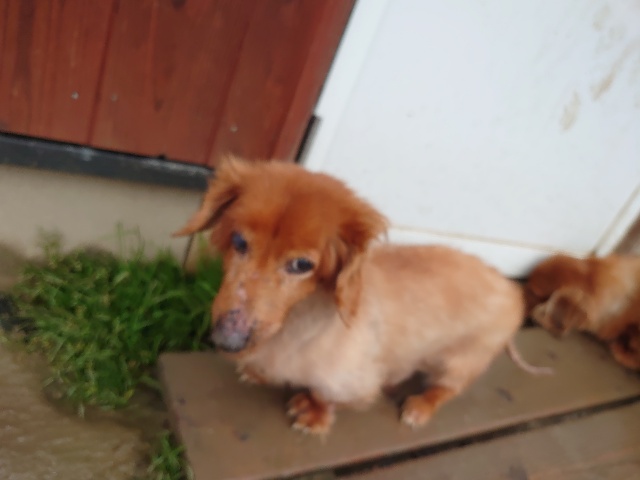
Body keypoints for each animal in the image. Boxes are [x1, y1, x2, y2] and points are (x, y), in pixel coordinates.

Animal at [175, 156, 528, 435]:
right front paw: (256, 372)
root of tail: (509, 287)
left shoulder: (351, 380)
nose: (227, 340)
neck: (297, 321)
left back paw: (420, 407)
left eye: (302, 264)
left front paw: (313, 413)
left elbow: (327, 396)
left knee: (447, 389)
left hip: (459, 362)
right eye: (239, 241)